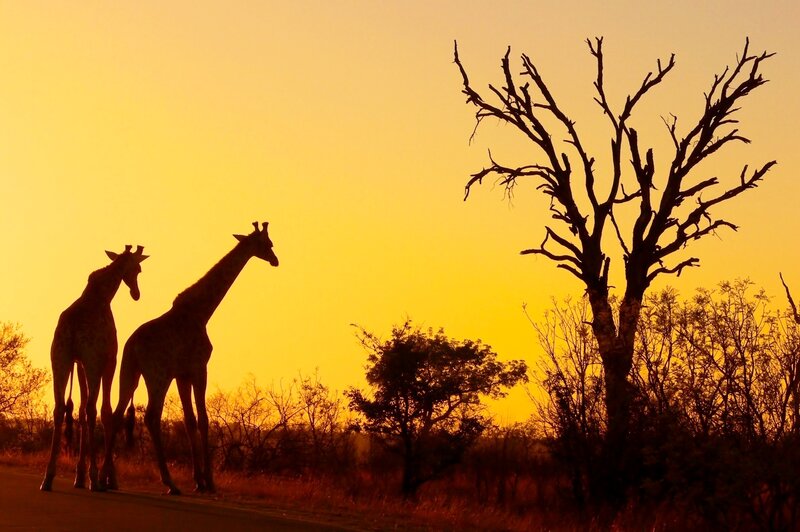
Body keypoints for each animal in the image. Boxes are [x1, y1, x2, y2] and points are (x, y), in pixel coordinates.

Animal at [40, 245, 148, 492]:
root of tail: (71, 329)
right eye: (138, 269)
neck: (103, 295)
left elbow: (79, 410)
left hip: (59, 359)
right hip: (91, 363)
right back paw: (94, 478)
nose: (136, 293)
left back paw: (48, 478)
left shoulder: (79, 363)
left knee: (60, 408)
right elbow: (105, 411)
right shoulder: (107, 361)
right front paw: (107, 478)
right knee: (92, 408)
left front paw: (79, 476)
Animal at [100, 222, 278, 494]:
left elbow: (189, 420)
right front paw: (210, 482)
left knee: (118, 414)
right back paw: (170, 483)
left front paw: (198, 480)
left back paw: (107, 479)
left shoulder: (182, 375)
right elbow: (203, 420)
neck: (201, 312)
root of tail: (133, 346)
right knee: (151, 416)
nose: (275, 260)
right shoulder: (199, 368)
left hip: (129, 373)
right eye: (267, 243)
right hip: (157, 376)